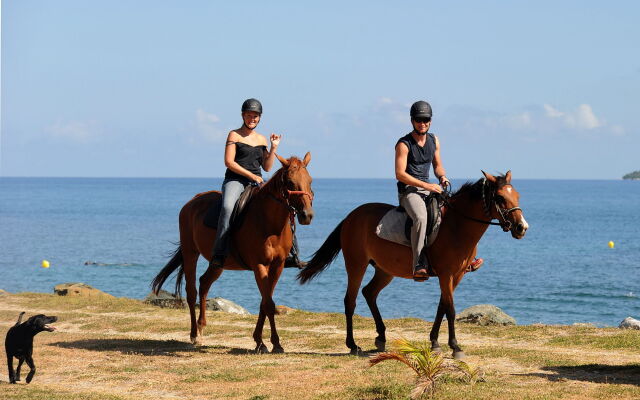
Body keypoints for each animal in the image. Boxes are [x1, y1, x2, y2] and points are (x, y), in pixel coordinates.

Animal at [155, 153, 316, 354]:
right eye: (290, 182)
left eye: (310, 181)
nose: (307, 215)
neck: (268, 223)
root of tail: (192, 202)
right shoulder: (259, 265)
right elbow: (269, 304)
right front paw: (271, 343)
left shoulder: (277, 266)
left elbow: (265, 302)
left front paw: (260, 340)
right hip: (190, 252)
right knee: (191, 292)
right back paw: (194, 334)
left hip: (218, 263)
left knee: (204, 283)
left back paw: (201, 326)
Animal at [298, 170, 528, 358]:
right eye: (500, 197)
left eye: (517, 196)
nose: (521, 227)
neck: (456, 226)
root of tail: (351, 217)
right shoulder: (446, 274)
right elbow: (451, 309)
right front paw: (455, 347)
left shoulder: (457, 275)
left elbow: (442, 306)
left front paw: (435, 342)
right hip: (356, 265)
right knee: (350, 301)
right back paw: (353, 345)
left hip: (384, 270)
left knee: (369, 293)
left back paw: (381, 337)